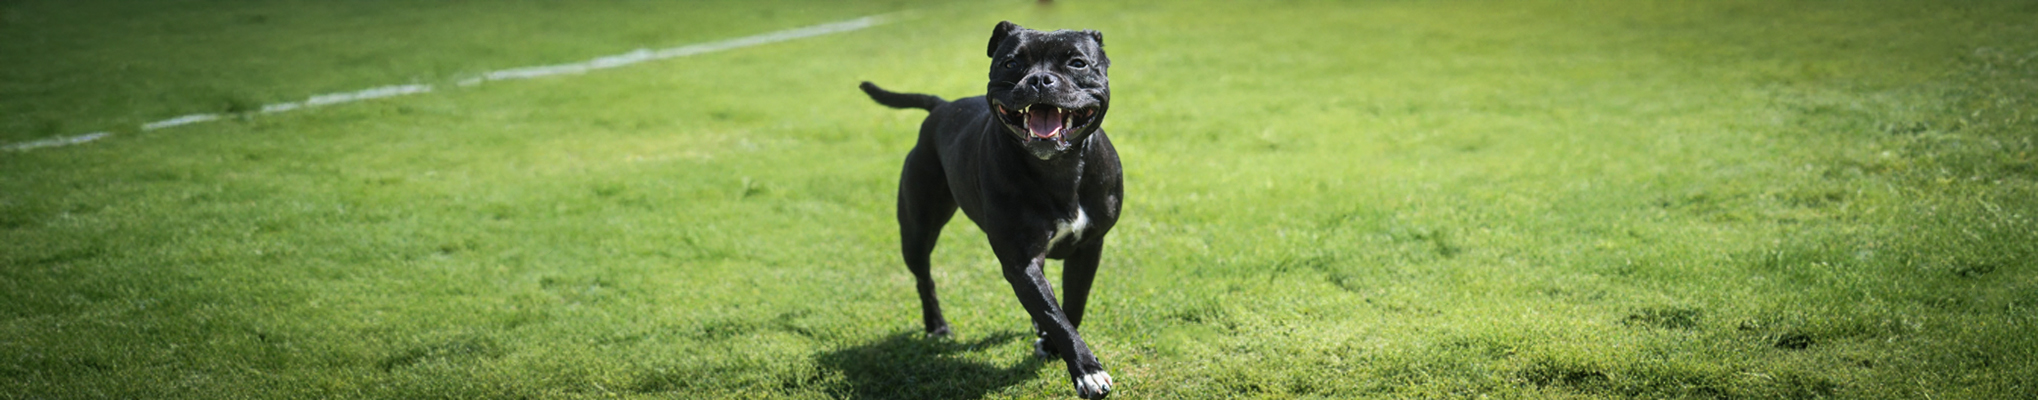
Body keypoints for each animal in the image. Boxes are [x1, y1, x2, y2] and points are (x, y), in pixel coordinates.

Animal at [859, 21, 1121, 399]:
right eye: (1011, 64)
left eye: (1077, 63)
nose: (1040, 80)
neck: (1058, 168)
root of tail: (941, 106)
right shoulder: (1020, 262)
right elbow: (1055, 314)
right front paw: (1087, 370)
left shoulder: (1088, 247)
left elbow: (1071, 305)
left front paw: (1055, 347)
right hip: (917, 231)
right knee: (924, 278)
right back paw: (936, 326)